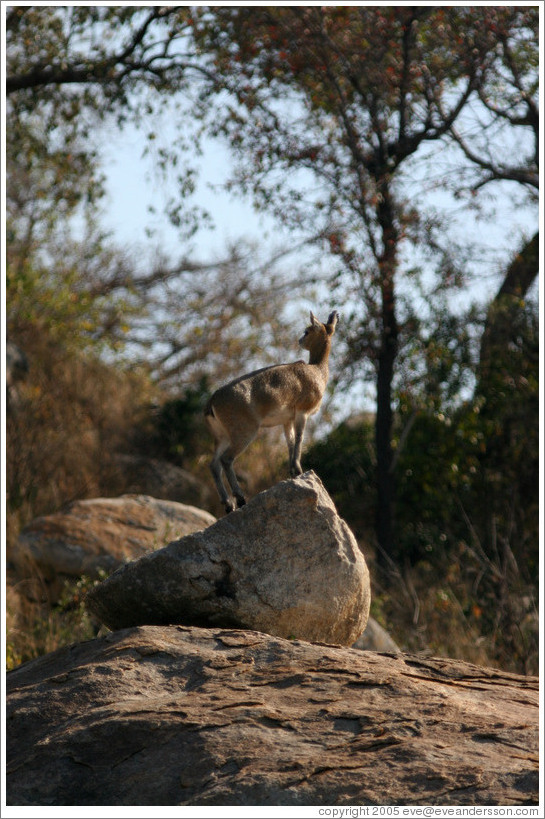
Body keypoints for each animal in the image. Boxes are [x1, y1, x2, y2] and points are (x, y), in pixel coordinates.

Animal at [204, 310, 338, 513]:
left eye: (307, 331)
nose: (300, 340)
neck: (317, 371)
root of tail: (212, 401)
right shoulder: (302, 412)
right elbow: (299, 439)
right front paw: (299, 470)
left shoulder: (287, 420)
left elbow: (290, 442)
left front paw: (293, 472)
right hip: (244, 432)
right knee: (226, 460)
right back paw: (240, 498)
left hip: (222, 436)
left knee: (213, 465)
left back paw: (228, 505)